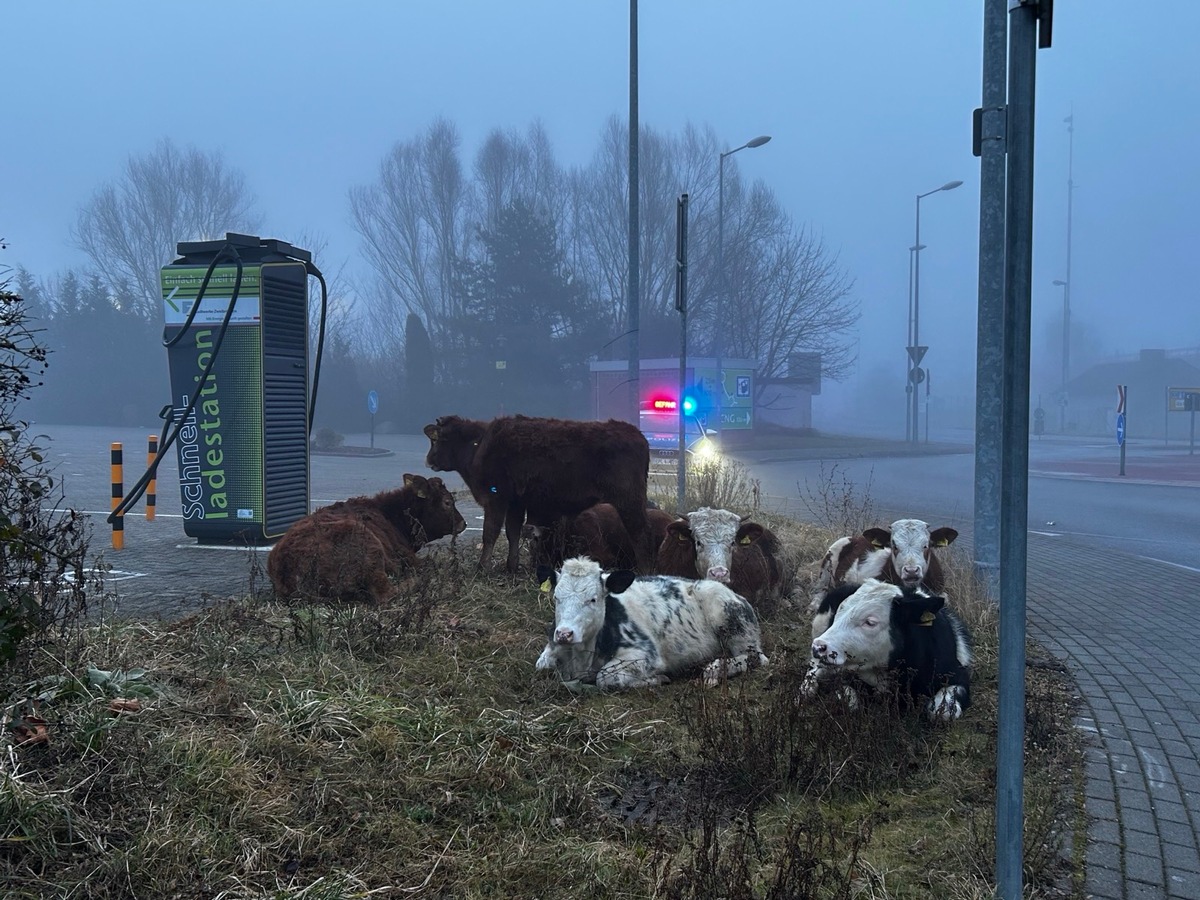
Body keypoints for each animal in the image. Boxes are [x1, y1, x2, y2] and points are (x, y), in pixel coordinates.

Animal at [267, 472, 463, 607]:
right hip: (370, 553)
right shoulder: (409, 557)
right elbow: (430, 563)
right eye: (447, 502)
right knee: (386, 593)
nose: (464, 523)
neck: (391, 516)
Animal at [424, 415, 652, 571]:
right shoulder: (516, 502)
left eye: (436, 440)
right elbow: (512, 532)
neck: (478, 445)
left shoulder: (496, 498)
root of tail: (636, 433)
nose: (428, 460)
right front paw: (511, 567)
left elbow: (490, 532)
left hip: (629, 501)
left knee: (640, 535)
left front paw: (482, 568)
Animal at [535, 556, 768, 691]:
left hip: (732, 622)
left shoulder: (646, 654)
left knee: (755, 657)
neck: (582, 658)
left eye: (593, 599)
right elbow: (542, 666)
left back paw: (714, 669)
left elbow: (605, 677)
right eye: (556, 597)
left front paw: (657, 679)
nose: (564, 634)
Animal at [801, 578, 969, 724]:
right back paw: (807, 689)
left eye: (870, 622)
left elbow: (942, 713)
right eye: (838, 613)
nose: (819, 647)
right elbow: (847, 702)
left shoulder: (958, 675)